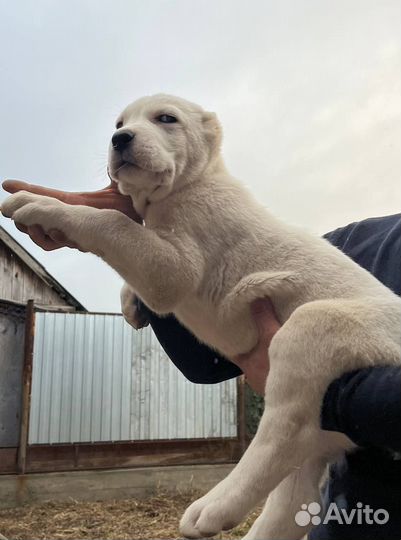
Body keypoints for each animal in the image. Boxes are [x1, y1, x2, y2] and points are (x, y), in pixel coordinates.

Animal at [0, 95, 400, 536]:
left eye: (165, 119)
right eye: (119, 124)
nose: (120, 139)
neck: (189, 185)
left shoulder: (174, 267)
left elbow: (114, 222)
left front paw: (44, 206)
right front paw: (131, 304)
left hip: (313, 328)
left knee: (282, 432)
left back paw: (215, 506)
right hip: (317, 433)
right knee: (295, 494)